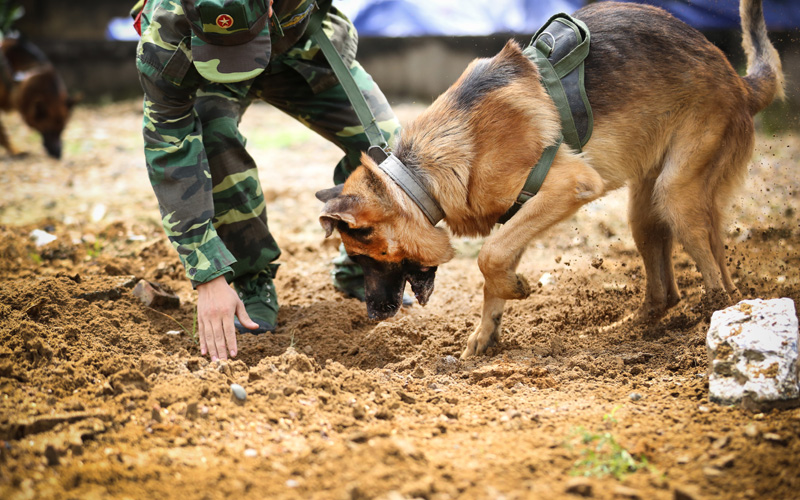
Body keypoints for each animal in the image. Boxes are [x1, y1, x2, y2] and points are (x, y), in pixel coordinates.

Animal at [316, 0, 784, 360]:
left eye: (364, 257)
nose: (373, 316)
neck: (420, 176)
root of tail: (739, 82)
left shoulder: (567, 186)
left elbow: (489, 256)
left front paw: (515, 291)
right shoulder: (521, 213)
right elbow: (497, 268)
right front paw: (485, 335)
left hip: (675, 194)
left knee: (714, 278)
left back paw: (707, 327)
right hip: (647, 208)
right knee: (672, 289)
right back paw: (628, 331)